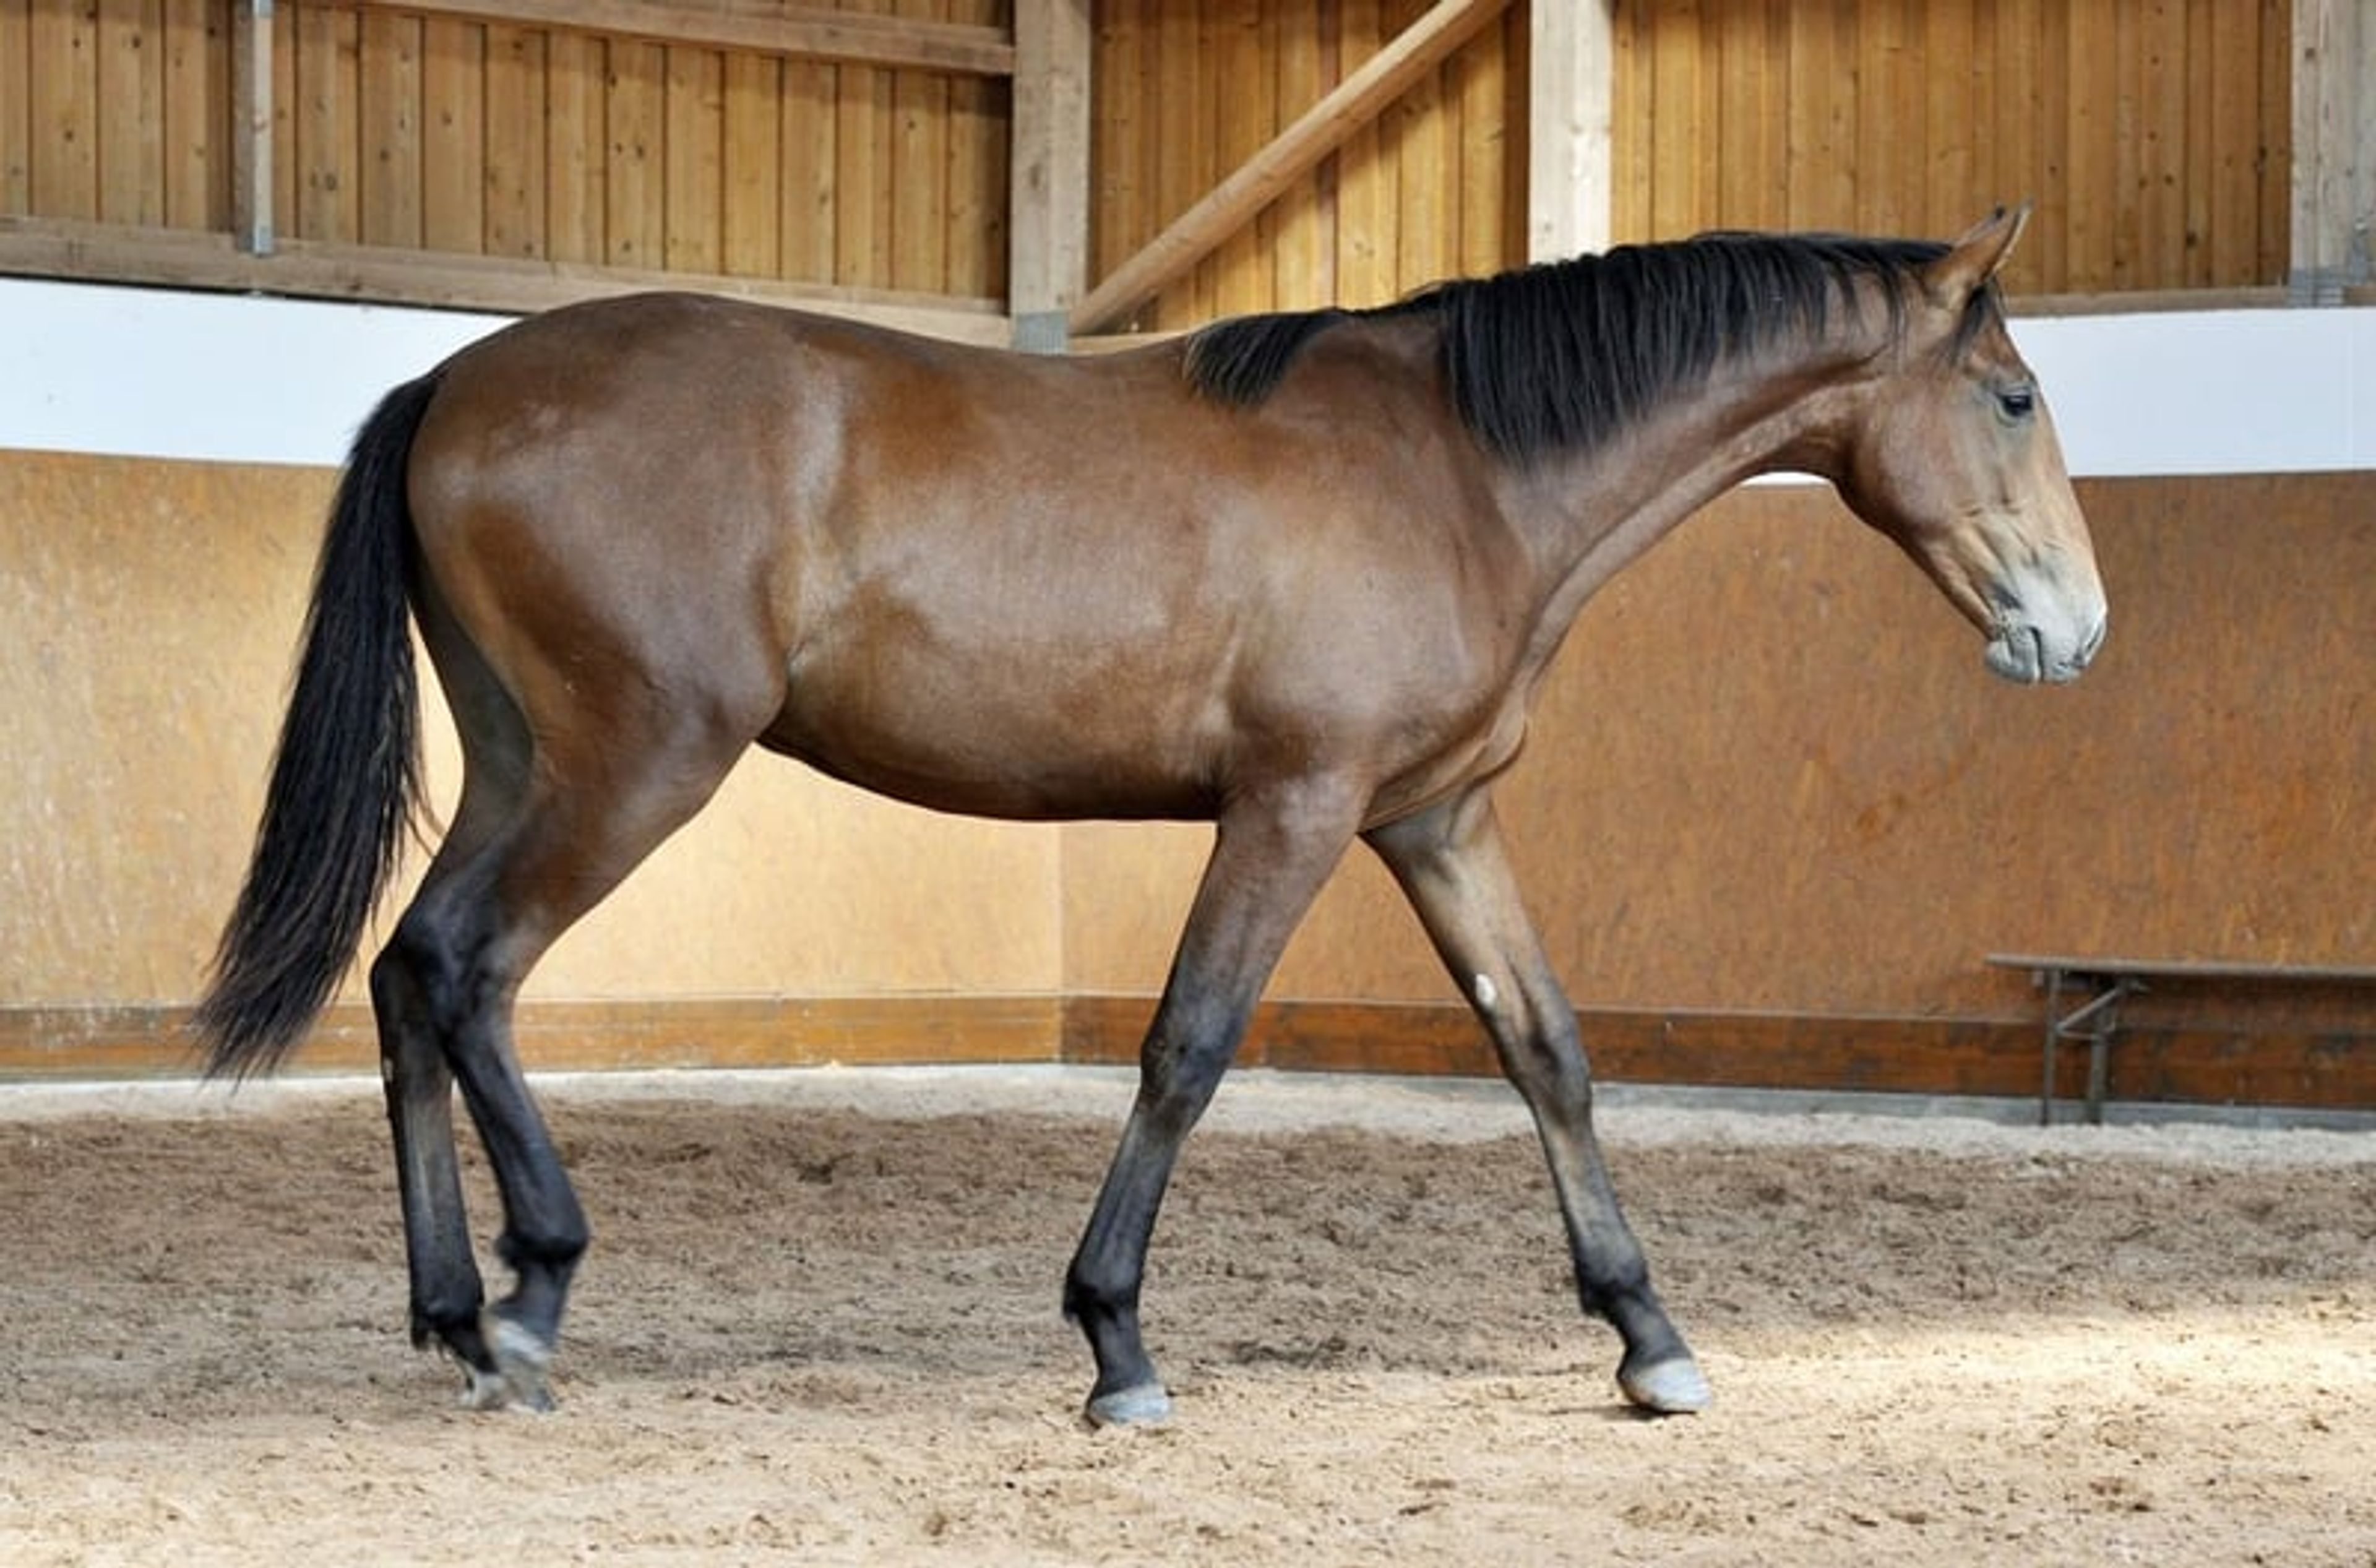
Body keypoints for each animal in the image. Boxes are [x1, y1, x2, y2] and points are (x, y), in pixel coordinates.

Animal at [197, 207, 2106, 1425]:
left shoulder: (1435, 823)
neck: (1460, 463)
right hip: (635, 765)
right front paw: (1115, 1343)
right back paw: (530, 1295)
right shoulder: (1294, 808)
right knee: (467, 971)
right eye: (2013, 397)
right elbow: (1186, 1047)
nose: (2074, 630)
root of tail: (452, 384)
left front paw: (1647, 1332)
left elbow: (1547, 1052)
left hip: (532, 763)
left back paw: (455, 1314)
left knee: (408, 982)